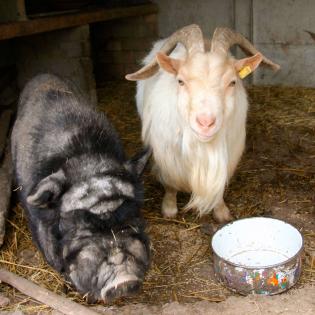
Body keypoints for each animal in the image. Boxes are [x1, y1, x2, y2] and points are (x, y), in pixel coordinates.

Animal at [126, 24, 278, 223]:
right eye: (180, 81)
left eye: (232, 82)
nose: (206, 123)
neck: (203, 147)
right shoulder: (167, 156)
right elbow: (170, 184)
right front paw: (169, 209)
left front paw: (221, 212)